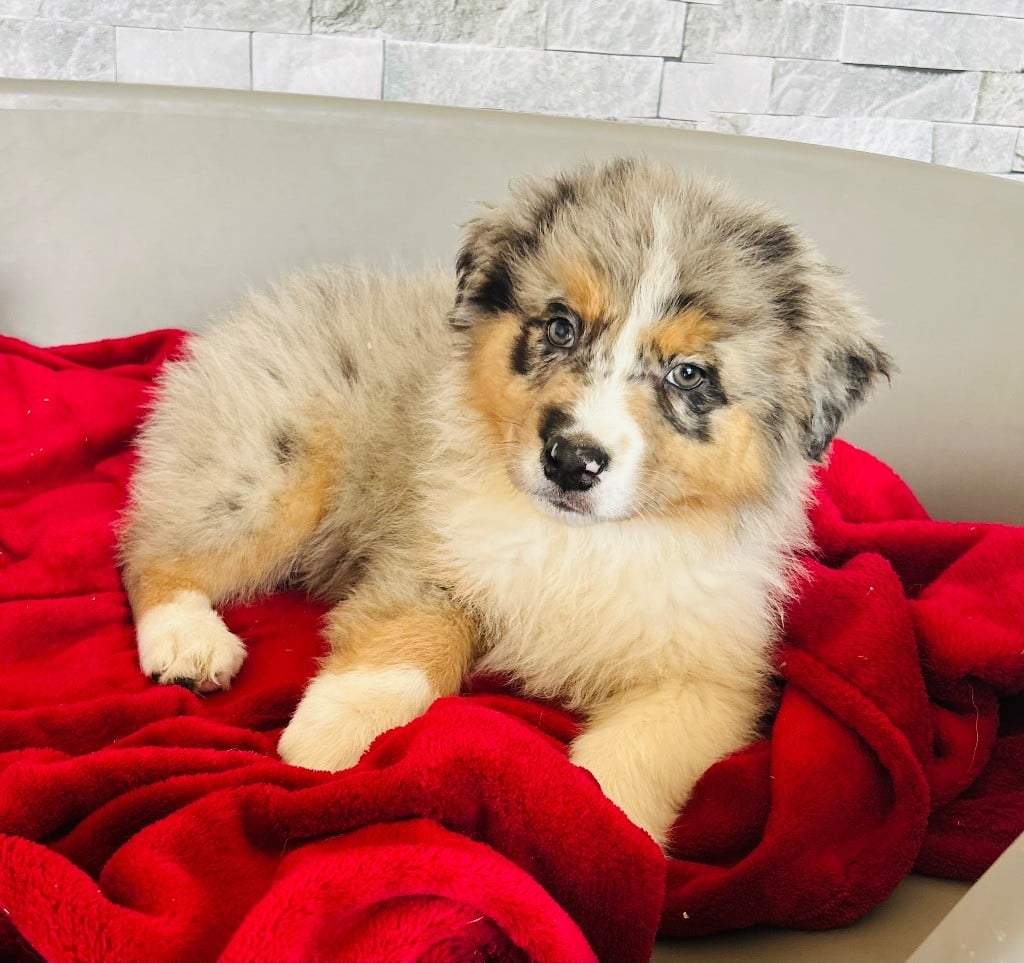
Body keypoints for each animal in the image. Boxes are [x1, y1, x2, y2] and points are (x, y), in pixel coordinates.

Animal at [119, 157, 891, 848]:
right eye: (561, 326)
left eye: (689, 374)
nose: (571, 460)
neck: (581, 542)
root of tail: (256, 313)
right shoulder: (427, 556)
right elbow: (405, 645)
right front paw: (329, 739)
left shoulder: (708, 674)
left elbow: (636, 754)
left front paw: (606, 827)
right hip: (272, 468)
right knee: (149, 550)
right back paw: (186, 639)